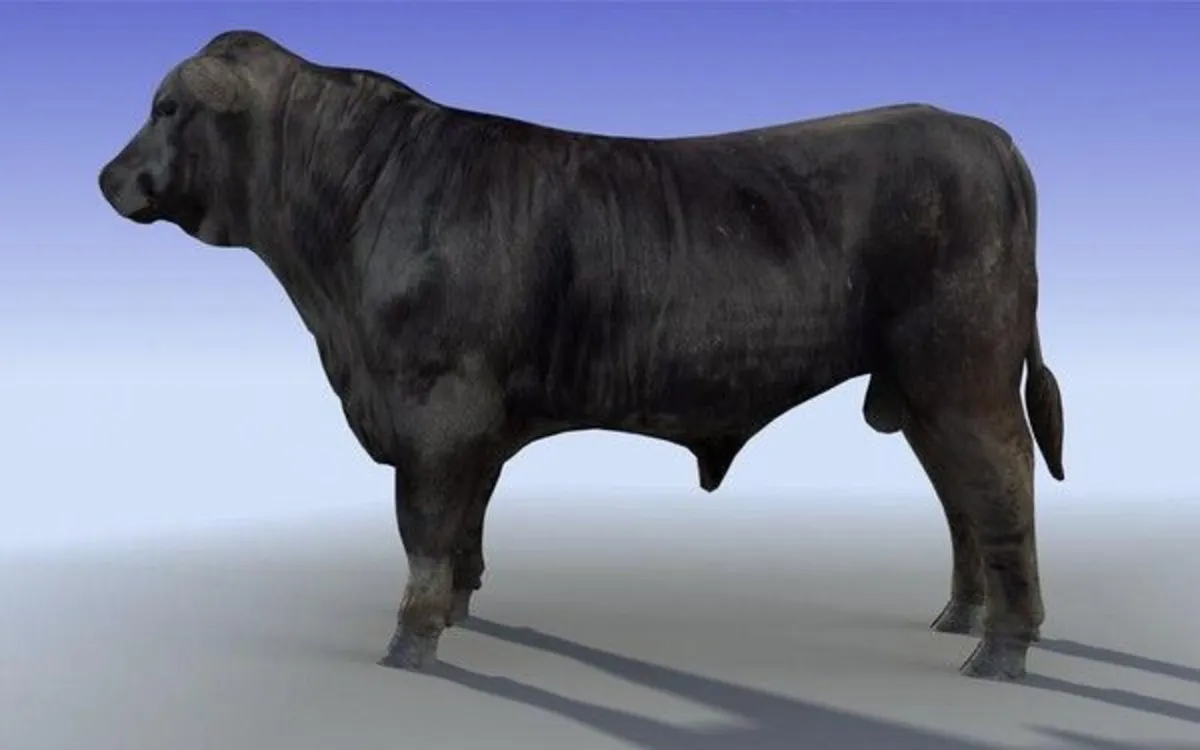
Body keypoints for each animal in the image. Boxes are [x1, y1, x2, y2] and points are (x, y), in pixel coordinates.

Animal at [98, 30, 1066, 681]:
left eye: (167, 107)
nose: (107, 179)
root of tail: (983, 134)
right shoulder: (477, 420)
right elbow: (466, 526)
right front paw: (459, 612)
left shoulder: (438, 410)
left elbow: (424, 527)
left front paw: (410, 643)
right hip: (922, 388)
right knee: (960, 496)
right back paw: (958, 617)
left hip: (965, 374)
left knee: (1002, 481)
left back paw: (1001, 649)